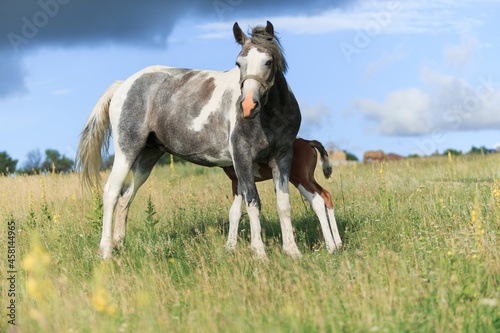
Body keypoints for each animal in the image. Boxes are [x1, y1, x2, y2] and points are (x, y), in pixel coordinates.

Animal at [75, 21, 300, 260]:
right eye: (239, 63)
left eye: (268, 61)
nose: (248, 106)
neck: (270, 116)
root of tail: (124, 84)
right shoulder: (242, 157)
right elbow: (253, 203)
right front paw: (259, 254)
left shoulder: (282, 158)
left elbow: (283, 204)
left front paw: (292, 251)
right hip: (127, 152)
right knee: (111, 193)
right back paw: (106, 251)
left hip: (147, 157)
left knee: (126, 197)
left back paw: (119, 243)